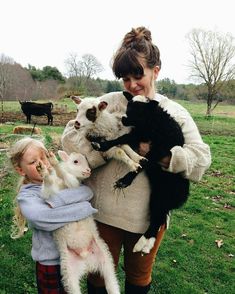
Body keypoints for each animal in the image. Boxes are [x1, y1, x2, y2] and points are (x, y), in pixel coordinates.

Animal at [37, 150, 120, 294]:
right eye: (75, 161)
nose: (88, 170)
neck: (61, 184)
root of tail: (86, 261)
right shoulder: (49, 194)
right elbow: (48, 185)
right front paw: (44, 171)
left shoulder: (74, 185)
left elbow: (68, 179)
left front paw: (53, 163)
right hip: (69, 271)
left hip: (105, 257)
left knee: (111, 281)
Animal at [91, 93, 190, 254]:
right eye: (129, 105)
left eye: (140, 111)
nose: (124, 119)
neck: (151, 124)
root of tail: (182, 197)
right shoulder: (137, 135)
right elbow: (122, 139)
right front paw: (102, 144)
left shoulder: (161, 151)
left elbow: (145, 162)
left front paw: (126, 179)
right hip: (157, 196)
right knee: (158, 218)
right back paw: (145, 246)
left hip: (164, 196)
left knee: (156, 220)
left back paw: (143, 244)